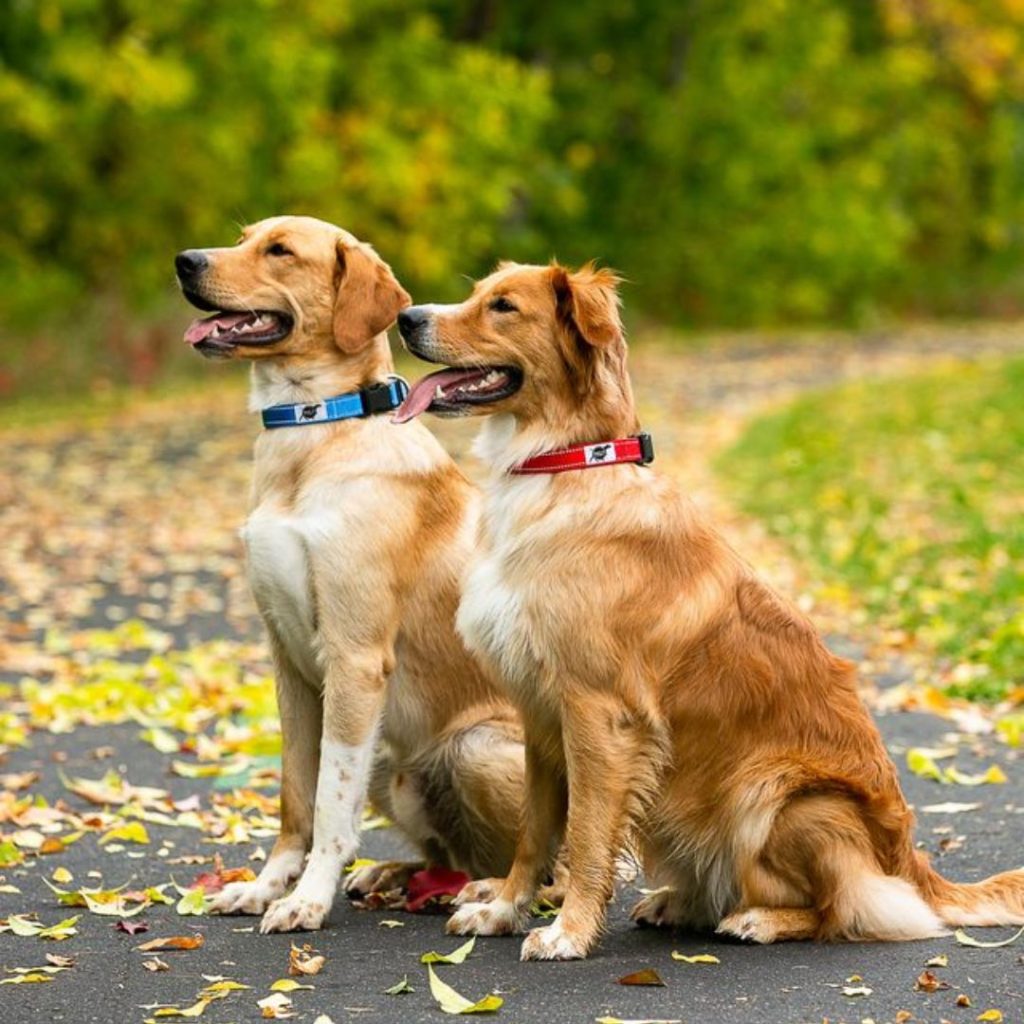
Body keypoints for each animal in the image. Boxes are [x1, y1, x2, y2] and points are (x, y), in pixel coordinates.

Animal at [174, 218, 528, 937]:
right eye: (243, 238)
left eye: (280, 250)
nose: (184, 261)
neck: (311, 433)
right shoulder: (288, 663)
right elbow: (296, 794)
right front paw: (265, 887)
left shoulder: (355, 659)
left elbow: (331, 806)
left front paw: (307, 898)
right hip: (390, 756)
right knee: (448, 855)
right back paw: (401, 876)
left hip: (469, 744)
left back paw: (489, 893)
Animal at [391, 262, 1024, 958]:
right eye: (476, 293)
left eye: (502, 307)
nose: (406, 318)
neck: (565, 467)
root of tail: (912, 863)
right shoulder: (538, 710)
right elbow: (535, 831)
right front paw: (503, 908)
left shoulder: (598, 712)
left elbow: (584, 835)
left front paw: (569, 931)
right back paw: (680, 902)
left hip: (777, 794)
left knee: (848, 907)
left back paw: (763, 920)